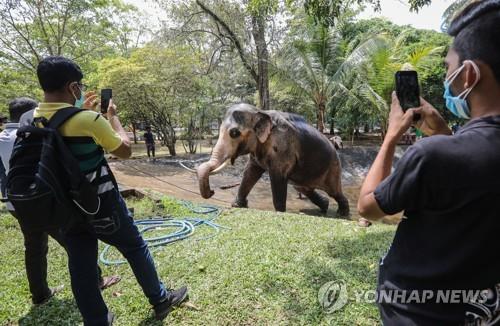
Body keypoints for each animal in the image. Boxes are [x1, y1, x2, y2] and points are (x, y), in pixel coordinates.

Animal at [193, 104, 350, 216]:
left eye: (234, 133)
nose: (212, 191)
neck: (260, 111)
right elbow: (250, 172)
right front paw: (238, 205)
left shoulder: (283, 147)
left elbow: (277, 177)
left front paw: (280, 212)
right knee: (303, 189)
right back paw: (325, 207)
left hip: (333, 167)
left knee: (335, 192)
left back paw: (342, 213)